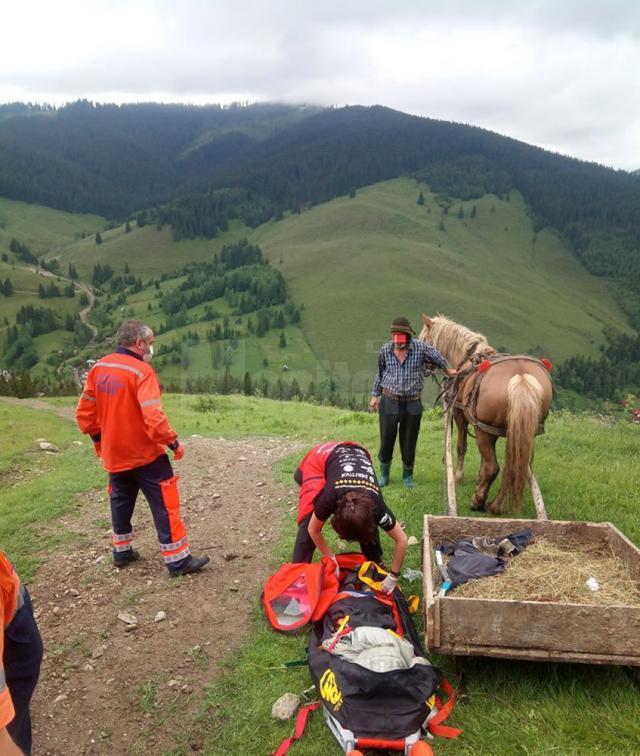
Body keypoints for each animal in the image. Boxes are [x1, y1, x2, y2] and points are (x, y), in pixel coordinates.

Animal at [418, 314, 552, 512]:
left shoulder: (461, 416)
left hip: (483, 429)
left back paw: (478, 501)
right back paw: (497, 504)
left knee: (494, 467)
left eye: (423, 340)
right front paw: (479, 481)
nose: (423, 367)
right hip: (522, 432)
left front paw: (459, 476)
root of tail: (521, 377)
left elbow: (462, 446)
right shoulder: (492, 431)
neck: (467, 357)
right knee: (514, 465)